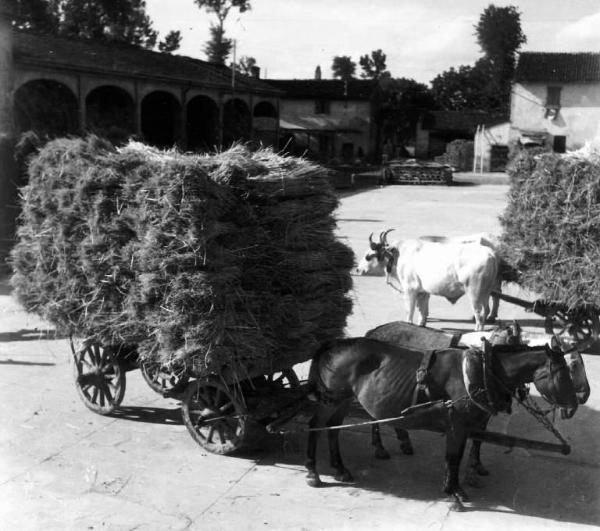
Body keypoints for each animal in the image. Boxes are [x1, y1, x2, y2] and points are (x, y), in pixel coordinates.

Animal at [308, 336, 580, 512]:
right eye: (562, 375)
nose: (572, 408)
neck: (482, 372)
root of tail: (335, 344)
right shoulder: (457, 425)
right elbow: (452, 458)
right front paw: (453, 494)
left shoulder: (467, 426)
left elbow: (458, 457)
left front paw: (456, 488)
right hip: (330, 400)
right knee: (316, 427)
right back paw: (313, 472)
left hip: (342, 400)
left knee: (333, 431)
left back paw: (340, 468)